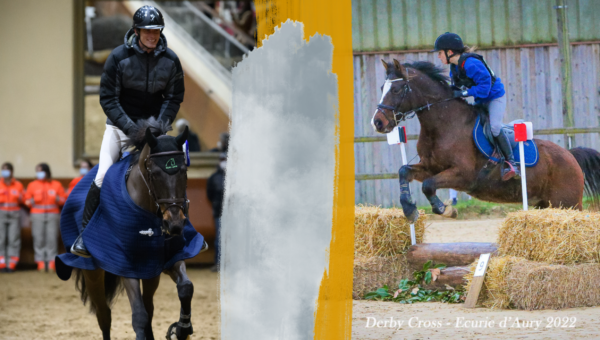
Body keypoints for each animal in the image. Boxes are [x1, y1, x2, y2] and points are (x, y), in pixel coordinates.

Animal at [59, 118, 204, 338]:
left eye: (184, 172)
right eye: (155, 173)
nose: (174, 224)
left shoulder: (170, 257)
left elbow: (186, 287)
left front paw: (182, 328)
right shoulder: (127, 265)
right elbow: (139, 315)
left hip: (151, 273)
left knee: (149, 306)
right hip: (92, 273)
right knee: (104, 314)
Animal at [370, 59, 600, 222]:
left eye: (396, 89)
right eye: (382, 88)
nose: (378, 122)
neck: (442, 125)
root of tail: (570, 155)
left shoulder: (463, 175)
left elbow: (428, 185)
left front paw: (445, 210)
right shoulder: (430, 167)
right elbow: (404, 172)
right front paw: (410, 210)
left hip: (567, 203)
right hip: (545, 204)